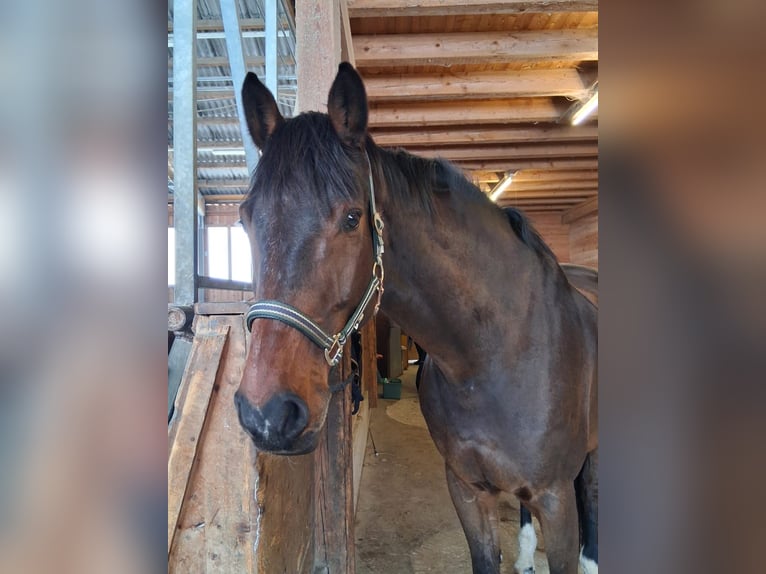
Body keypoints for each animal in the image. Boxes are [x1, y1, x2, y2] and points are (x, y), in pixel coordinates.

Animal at [234, 62, 598, 574]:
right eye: (245, 219)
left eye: (352, 218)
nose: (267, 414)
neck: (498, 352)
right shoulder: (468, 489)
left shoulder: (556, 498)